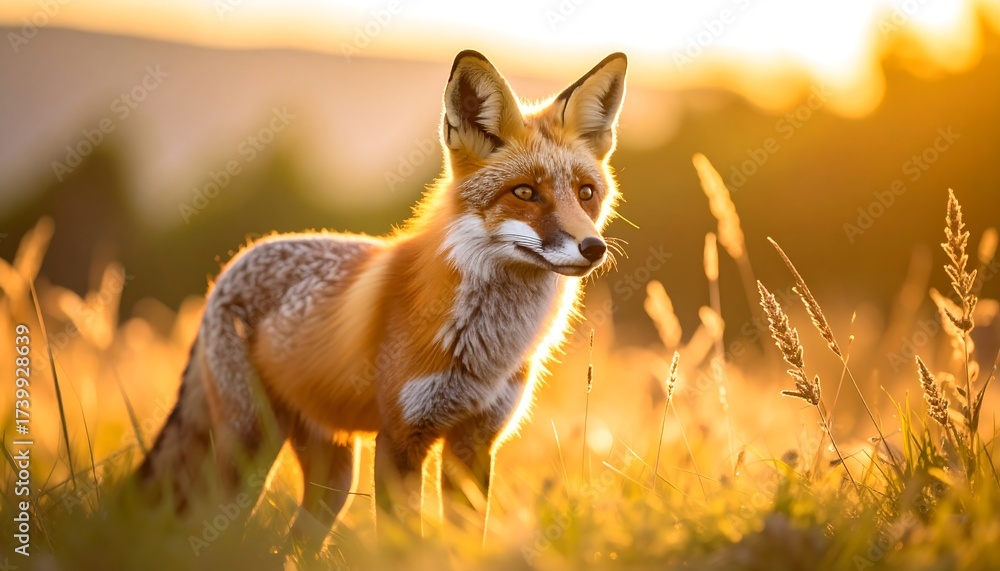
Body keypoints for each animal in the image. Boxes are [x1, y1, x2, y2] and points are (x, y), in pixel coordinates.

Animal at [137, 49, 627, 545]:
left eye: (586, 193)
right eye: (525, 192)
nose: (593, 248)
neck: (484, 346)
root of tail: (232, 264)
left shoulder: (475, 442)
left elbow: (468, 537)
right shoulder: (400, 437)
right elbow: (401, 541)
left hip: (333, 479)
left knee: (293, 544)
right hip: (250, 453)